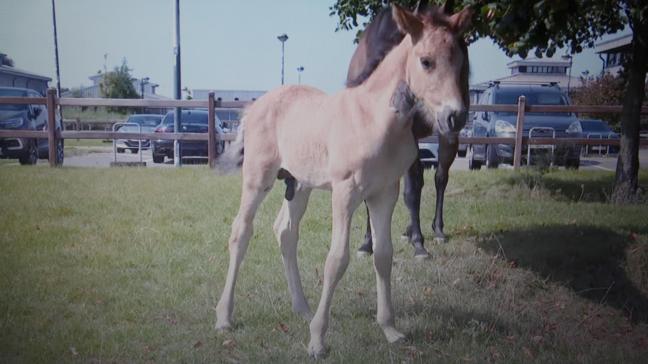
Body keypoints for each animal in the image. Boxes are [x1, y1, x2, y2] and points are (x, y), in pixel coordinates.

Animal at [346, 2, 468, 258]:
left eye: (460, 61)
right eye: (425, 61)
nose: (456, 115)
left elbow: (413, 189)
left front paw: (419, 244)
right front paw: (367, 244)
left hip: (446, 137)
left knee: (439, 177)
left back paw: (435, 231)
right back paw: (409, 230)